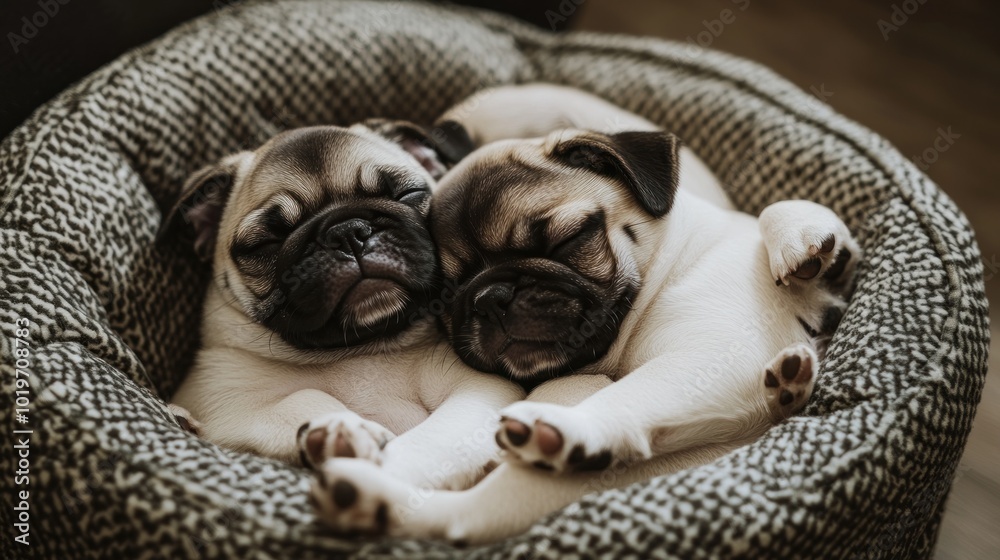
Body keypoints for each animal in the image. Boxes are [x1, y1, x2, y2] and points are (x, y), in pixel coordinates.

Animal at [158, 120, 524, 500]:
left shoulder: (479, 393)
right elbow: (302, 396)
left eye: (406, 193)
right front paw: (343, 431)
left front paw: (378, 476)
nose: (347, 231)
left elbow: (429, 444)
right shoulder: (223, 399)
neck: (358, 349)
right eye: (265, 244)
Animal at [304, 85, 860, 544]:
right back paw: (366, 497)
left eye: (566, 241)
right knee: (461, 517)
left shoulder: (714, 354)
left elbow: (627, 397)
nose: (490, 296)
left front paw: (813, 258)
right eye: (449, 291)